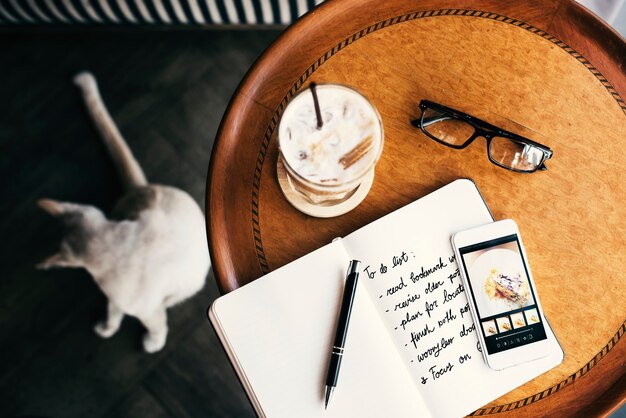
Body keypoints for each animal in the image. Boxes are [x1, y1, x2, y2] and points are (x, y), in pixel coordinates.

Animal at [37, 72, 211, 352]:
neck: (112, 240)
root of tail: (141, 188)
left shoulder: (145, 310)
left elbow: (156, 327)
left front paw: (151, 344)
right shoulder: (117, 299)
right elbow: (113, 314)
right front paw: (106, 329)